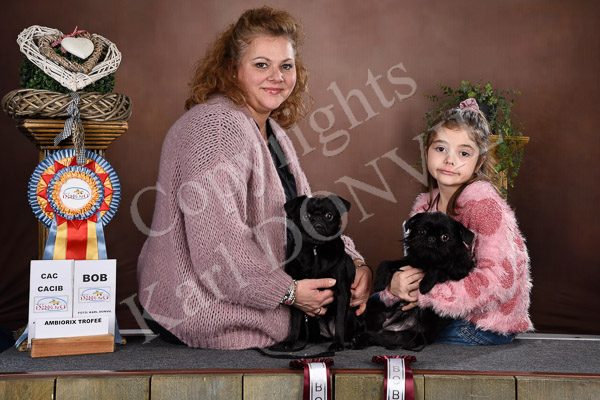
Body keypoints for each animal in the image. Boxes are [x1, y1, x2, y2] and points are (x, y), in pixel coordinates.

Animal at [277, 195, 359, 352]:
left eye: (329, 216)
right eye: (306, 215)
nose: (317, 219)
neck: (316, 248)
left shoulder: (342, 294)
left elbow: (339, 321)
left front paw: (338, 343)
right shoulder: (298, 292)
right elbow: (295, 321)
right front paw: (291, 340)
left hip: (351, 314)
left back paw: (352, 341)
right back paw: (316, 337)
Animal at [351, 211, 474, 350]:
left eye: (445, 237)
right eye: (422, 231)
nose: (431, 238)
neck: (427, 261)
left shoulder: (458, 272)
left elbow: (438, 268)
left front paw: (424, 285)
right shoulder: (408, 262)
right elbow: (386, 263)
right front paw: (379, 281)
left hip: (406, 336)